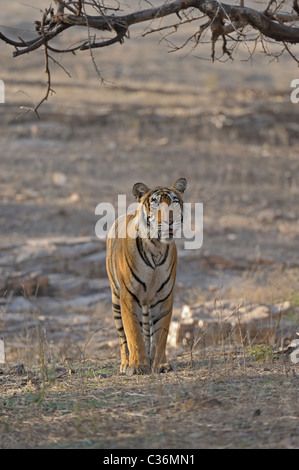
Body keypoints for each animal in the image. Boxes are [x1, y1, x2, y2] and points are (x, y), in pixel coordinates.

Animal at [106, 178, 188, 376]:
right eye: (156, 203)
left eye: (174, 201)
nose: (169, 221)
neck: (156, 247)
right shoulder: (128, 296)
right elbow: (133, 332)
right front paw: (137, 366)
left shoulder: (164, 297)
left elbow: (160, 334)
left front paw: (160, 365)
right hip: (115, 299)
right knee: (122, 337)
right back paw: (125, 364)